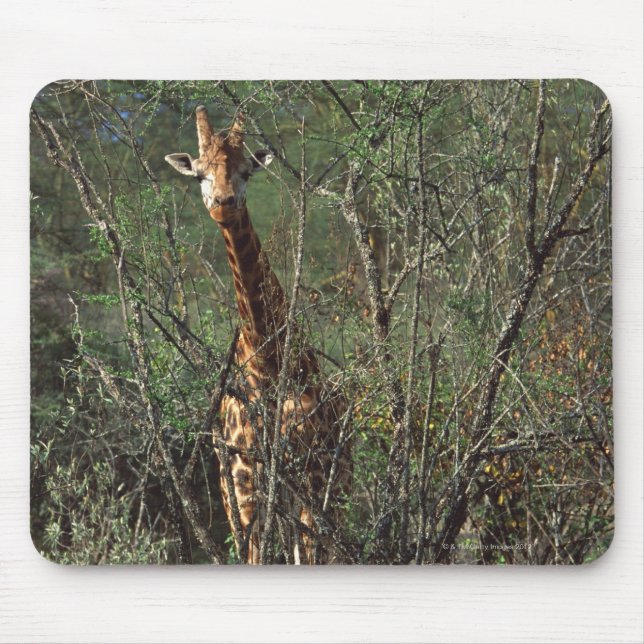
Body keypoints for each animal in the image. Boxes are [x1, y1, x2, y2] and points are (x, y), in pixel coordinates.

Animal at [165, 106, 352, 564]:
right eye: (199, 174)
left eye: (246, 170)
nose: (223, 204)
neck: (268, 365)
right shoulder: (244, 478)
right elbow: (253, 552)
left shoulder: (311, 473)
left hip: (336, 483)